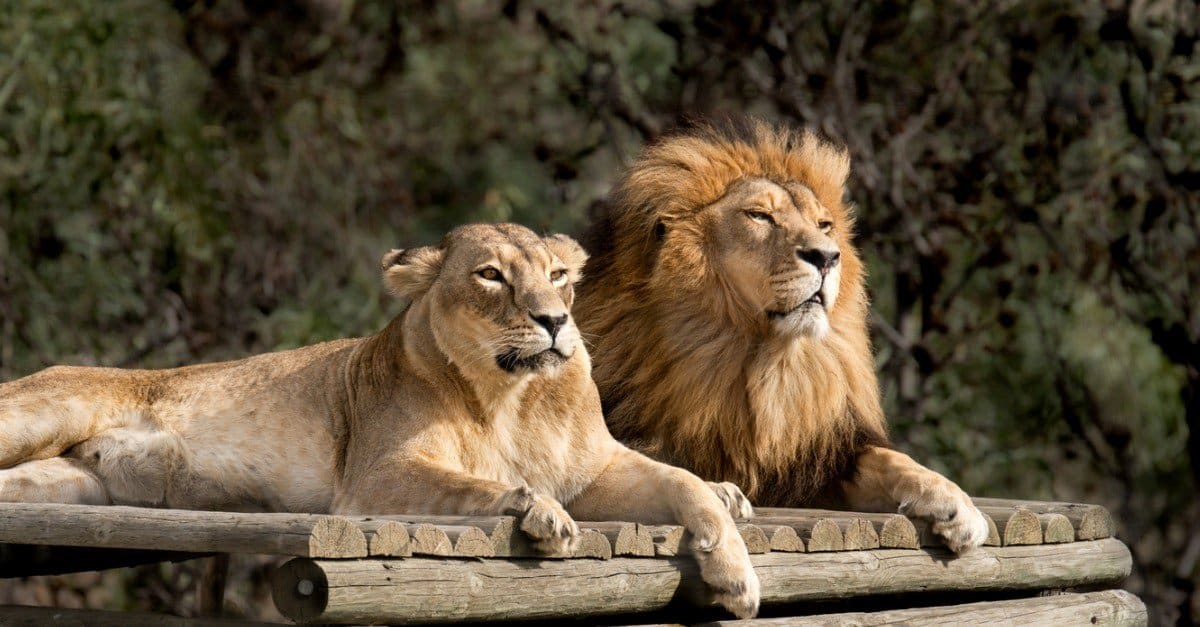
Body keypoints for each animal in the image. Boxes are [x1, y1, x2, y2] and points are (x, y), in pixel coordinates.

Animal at [0, 223, 760, 617]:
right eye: (491, 275)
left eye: (559, 276)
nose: (554, 320)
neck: (510, 398)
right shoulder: (374, 477)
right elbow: (474, 484)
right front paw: (536, 509)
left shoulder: (597, 469)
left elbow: (683, 481)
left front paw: (734, 570)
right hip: (45, 410)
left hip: (67, 482)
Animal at [577, 119, 989, 553]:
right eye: (759, 216)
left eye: (824, 226)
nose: (826, 256)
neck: (763, 365)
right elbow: (653, 466)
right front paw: (717, 490)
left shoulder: (818, 459)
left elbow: (892, 459)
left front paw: (958, 504)